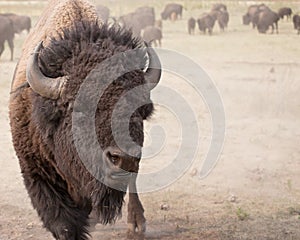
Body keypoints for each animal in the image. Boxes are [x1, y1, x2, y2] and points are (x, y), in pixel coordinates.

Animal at [8, 0, 161, 240]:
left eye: (140, 111)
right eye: (80, 109)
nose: (124, 158)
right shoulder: (36, 173)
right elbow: (65, 225)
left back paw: (136, 224)